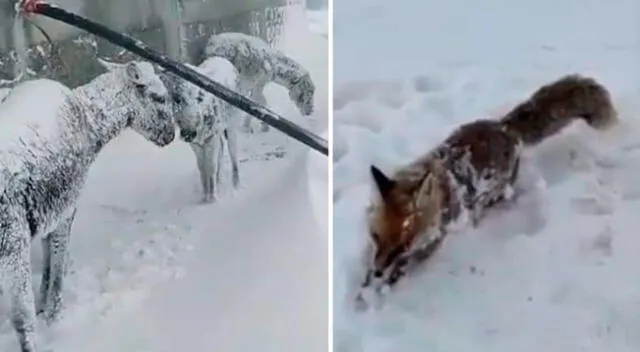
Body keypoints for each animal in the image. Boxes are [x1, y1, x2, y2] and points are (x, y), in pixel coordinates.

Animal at [0, 59, 175, 350]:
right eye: (159, 97)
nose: (171, 135)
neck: (93, 127)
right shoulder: (66, 208)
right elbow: (57, 268)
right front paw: (53, 314)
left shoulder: (51, 215)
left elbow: (48, 264)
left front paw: (44, 304)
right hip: (12, 241)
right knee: (21, 320)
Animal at [162, 56, 240, 202]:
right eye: (178, 99)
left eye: (200, 97)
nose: (188, 133)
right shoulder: (196, 143)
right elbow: (202, 166)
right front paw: (205, 196)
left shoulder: (212, 137)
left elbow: (211, 165)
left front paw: (213, 198)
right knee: (222, 149)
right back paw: (219, 180)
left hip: (233, 125)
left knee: (233, 154)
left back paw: (236, 185)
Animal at [358, 73, 616, 304]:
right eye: (375, 236)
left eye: (402, 245)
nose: (379, 271)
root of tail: (503, 126)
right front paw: (365, 289)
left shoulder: (433, 241)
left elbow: (402, 268)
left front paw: (381, 288)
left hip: (495, 195)